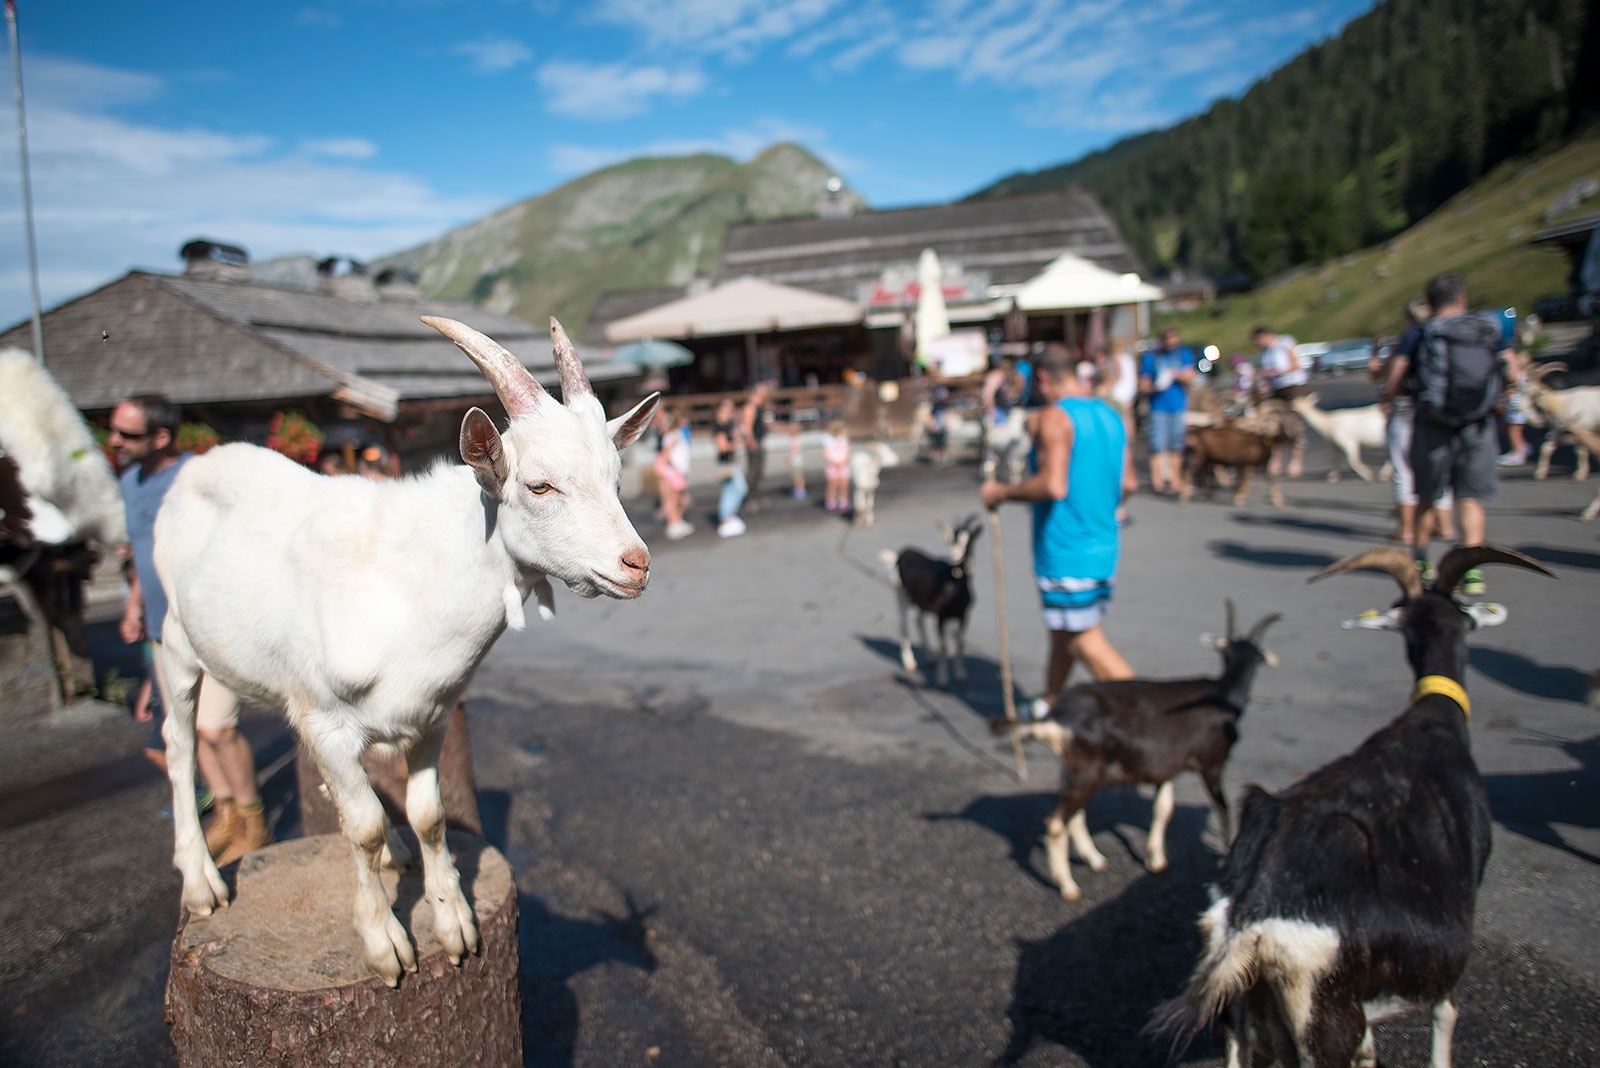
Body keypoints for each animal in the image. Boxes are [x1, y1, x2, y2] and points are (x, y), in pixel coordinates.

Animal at [152, 314, 659, 984]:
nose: (636, 564)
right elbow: (362, 827)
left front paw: (455, 922)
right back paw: (202, 882)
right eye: (539, 484)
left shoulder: (432, 717)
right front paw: (384, 943)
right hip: (176, 638)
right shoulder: (325, 719)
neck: (407, 589)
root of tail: (198, 463)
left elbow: (430, 815)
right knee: (180, 743)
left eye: (617, 479)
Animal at [883, 514, 979, 684]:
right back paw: (909, 662)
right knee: (903, 624)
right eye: (950, 540)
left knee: (918, 621)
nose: (955, 557)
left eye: (969, 539)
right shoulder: (941, 616)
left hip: (921, 601)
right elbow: (943, 647)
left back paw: (929, 658)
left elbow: (960, 644)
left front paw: (960, 674)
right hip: (899, 592)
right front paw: (943, 681)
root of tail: (900, 553)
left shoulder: (963, 615)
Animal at [992, 604, 1280, 895]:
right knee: (1055, 823)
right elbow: (1222, 809)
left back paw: (1094, 859)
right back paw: (1068, 886)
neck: (1223, 693)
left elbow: (1164, 809)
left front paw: (1156, 860)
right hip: (1088, 768)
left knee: (1074, 814)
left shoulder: (1166, 768)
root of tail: (1055, 717)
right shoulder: (1212, 761)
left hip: (1074, 766)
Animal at [1158, 546, 1555, 1068]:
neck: (1435, 720)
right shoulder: (1450, 947)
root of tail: (1251, 922)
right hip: (1325, 1020)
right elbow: (1446, 1016)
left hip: (1242, 1020)